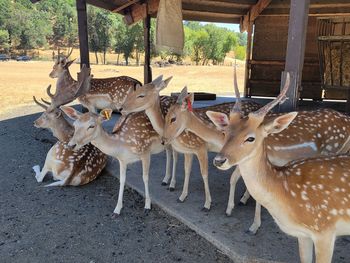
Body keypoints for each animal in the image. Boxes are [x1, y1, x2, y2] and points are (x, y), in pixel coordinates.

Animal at [119, 75, 262, 211]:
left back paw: (242, 200)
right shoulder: (188, 150)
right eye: (133, 92)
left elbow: (203, 173)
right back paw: (244, 198)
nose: (121, 108)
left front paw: (207, 204)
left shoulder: (200, 147)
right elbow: (187, 170)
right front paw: (181, 196)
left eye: (141, 95)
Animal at [212, 72, 350, 263]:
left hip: (334, 148)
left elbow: (236, 180)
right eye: (225, 132)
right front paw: (239, 205)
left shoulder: (324, 232)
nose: (219, 160)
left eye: (250, 138)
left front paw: (251, 224)